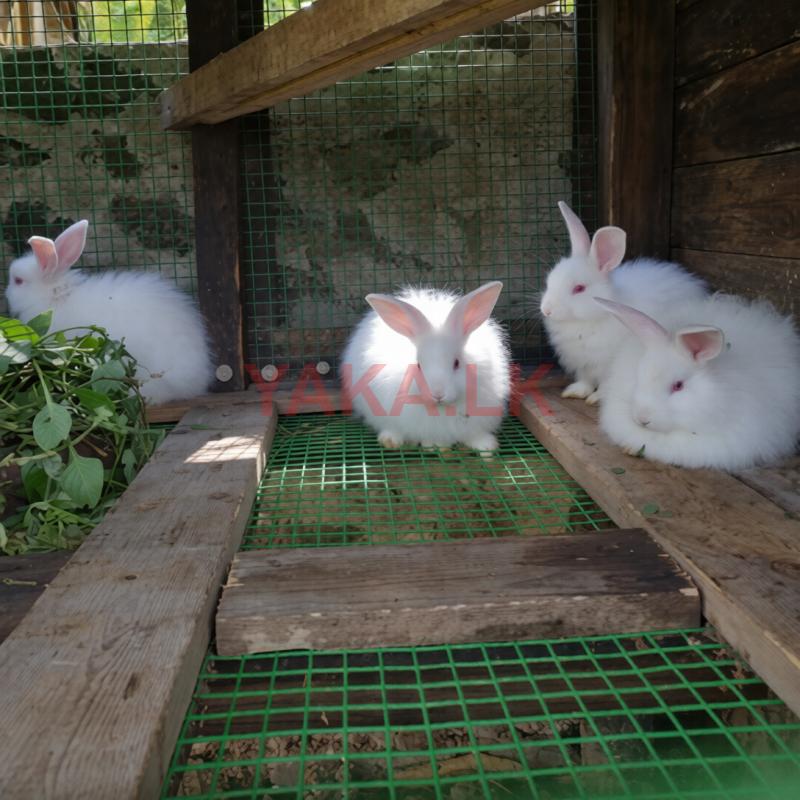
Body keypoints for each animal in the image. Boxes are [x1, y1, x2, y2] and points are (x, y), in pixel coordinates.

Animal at [340, 281, 511, 451]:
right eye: (418, 365)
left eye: (456, 363)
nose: (438, 394)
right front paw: (432, 444)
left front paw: (486, 445)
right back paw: (390, 440)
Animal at [539, 201, 708, 404]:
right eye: (549, 280)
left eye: (579, 288)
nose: (546, 310)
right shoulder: (582, 364)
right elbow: (585, 380)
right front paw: (576, 392)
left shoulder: (609, 364)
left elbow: (606, 384)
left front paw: (596, 398)